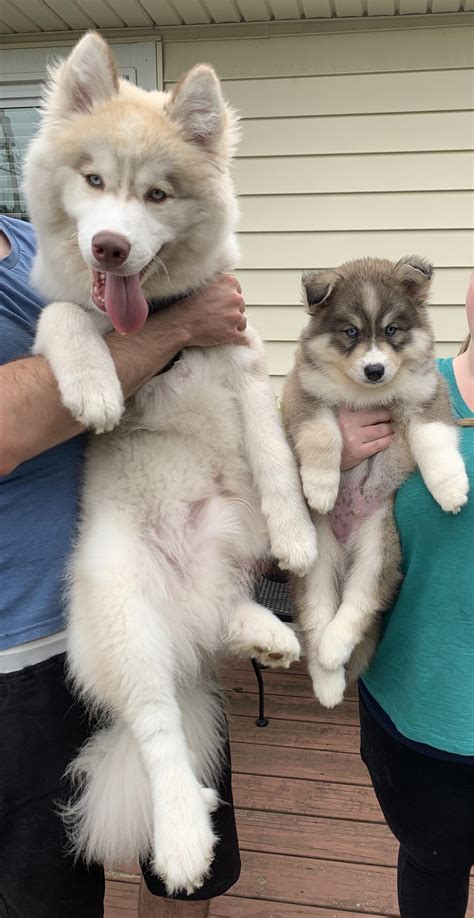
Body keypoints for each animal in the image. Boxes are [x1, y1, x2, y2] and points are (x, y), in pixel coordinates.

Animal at [24, 36, 316, 900]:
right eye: (93, 181)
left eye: (156, 194)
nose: (109, 248)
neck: (158, 323)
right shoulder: (60, 315)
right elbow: (65, 316)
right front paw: (93, 389)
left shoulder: (246, 364)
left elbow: (275, 460)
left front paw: (299, 536)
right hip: (125, 616)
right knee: (157, 733)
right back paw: (184, 836)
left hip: (219, 558)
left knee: (220, 616)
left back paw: (268, 636)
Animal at [284, 258, 468, 712]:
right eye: (350, 331)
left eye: (391, 329)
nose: (374, 370)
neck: (365, 394)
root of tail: (345, 547)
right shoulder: (302, 393)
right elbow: (324, 434)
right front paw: (321, 488)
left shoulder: (426, 397)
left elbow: (432, 439)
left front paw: (451, 487)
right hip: (316, 561)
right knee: (316, 617)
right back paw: (328, 679)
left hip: (379, 547)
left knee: (359, 603)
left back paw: (335, 650)